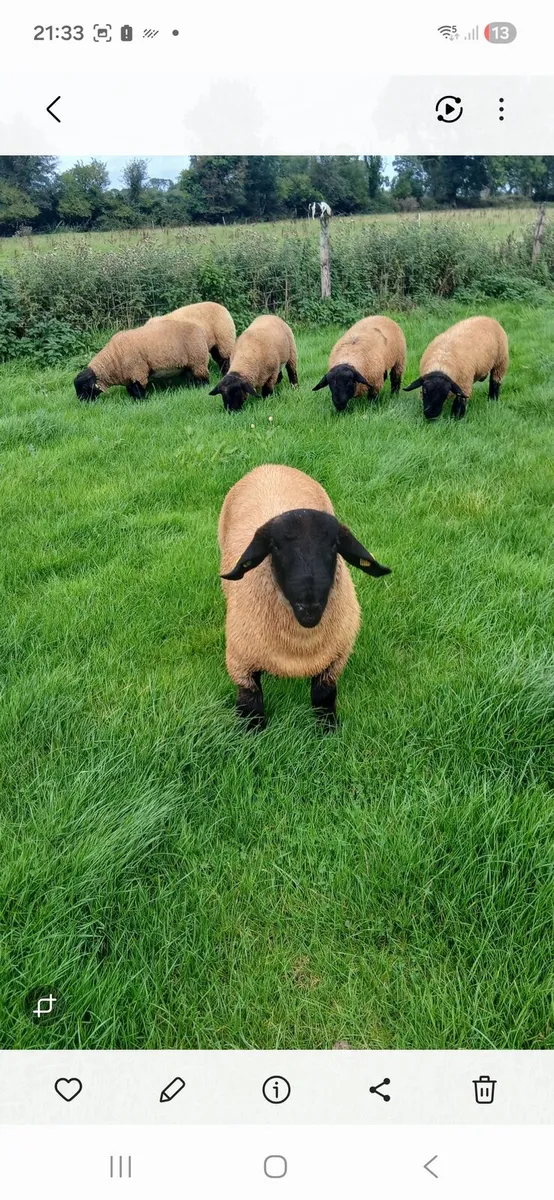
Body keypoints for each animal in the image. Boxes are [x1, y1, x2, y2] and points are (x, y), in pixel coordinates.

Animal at [73, 319, 210, 402]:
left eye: (84, 387)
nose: (82, 403)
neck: (113, 359)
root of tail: (199, 329)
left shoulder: (138, 372)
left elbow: (139, 389)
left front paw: (141, 401)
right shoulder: (128, 376)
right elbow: (131, 389)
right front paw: (133, 399)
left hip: (198, 360)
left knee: (203, 378)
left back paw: (203, 388)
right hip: (189, 365)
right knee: (192, 377)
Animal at [218, 464, 391, 727]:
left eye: (334, 545)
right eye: (275, 547)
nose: (309, 606)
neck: (301, 647)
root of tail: (270, 466)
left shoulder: (335, 659)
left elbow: (323, 696)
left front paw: (328, 729)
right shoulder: (241, 663)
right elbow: (251, 705)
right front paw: (252, 734)